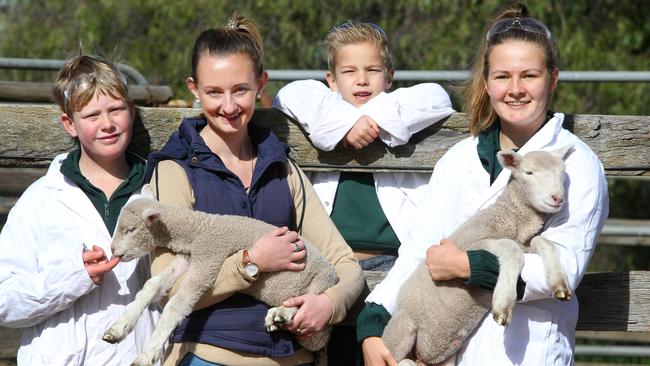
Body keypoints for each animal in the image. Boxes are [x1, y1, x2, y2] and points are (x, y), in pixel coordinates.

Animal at [102, 189, 334, 366]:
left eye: (130, 230)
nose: (112, 250)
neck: (199, 230)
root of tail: (334, 277)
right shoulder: (189, 258)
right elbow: (152, 285)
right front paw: (118, 329)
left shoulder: (209, 257)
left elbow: (177, 305)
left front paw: (145, 356)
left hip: (319, 286)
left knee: (314, 323)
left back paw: (281, 314)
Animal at [384, 144, 572, 364]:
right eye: (529, 172)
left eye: (562, 173)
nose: (557, 198)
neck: (511, 218)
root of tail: (423, 357)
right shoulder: (476, 242)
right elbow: (511, 248)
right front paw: (503, 305)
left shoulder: (525, 243)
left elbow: (544, 242)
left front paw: (560, 286)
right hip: (402, 328)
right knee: (400, 357)